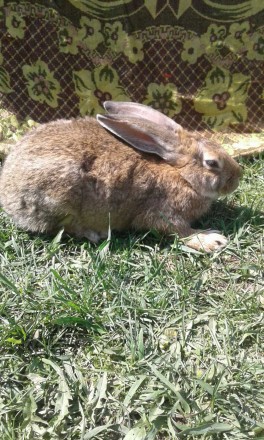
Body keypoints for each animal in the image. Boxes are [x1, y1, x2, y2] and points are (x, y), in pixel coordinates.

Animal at [0, 100, 242, 251]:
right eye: (212, 163)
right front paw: (211, 240)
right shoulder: (163, 212)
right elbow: (177, 230)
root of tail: (7, 195)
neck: (182, 175)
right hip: (60, 197)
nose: (238, 177)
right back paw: (93, 234)